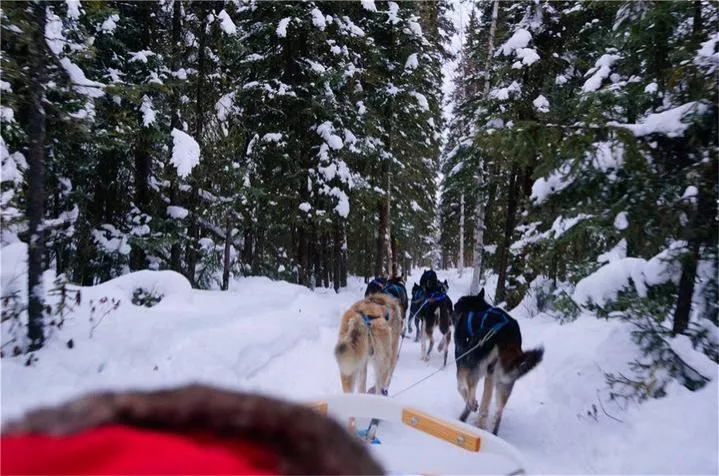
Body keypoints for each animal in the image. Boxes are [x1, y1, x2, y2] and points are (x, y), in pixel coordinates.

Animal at [452, 288, 544, 436]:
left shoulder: (462, 359)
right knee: (497, 413)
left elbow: (461, 387)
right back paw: (489, 431)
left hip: (476, 368)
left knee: (470, 398)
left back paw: (464, 417)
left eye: (456, 306)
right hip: (505, 382)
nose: (452, 311)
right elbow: (485, 401)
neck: (476, 308)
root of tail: (506, 336)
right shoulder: (490, 374)